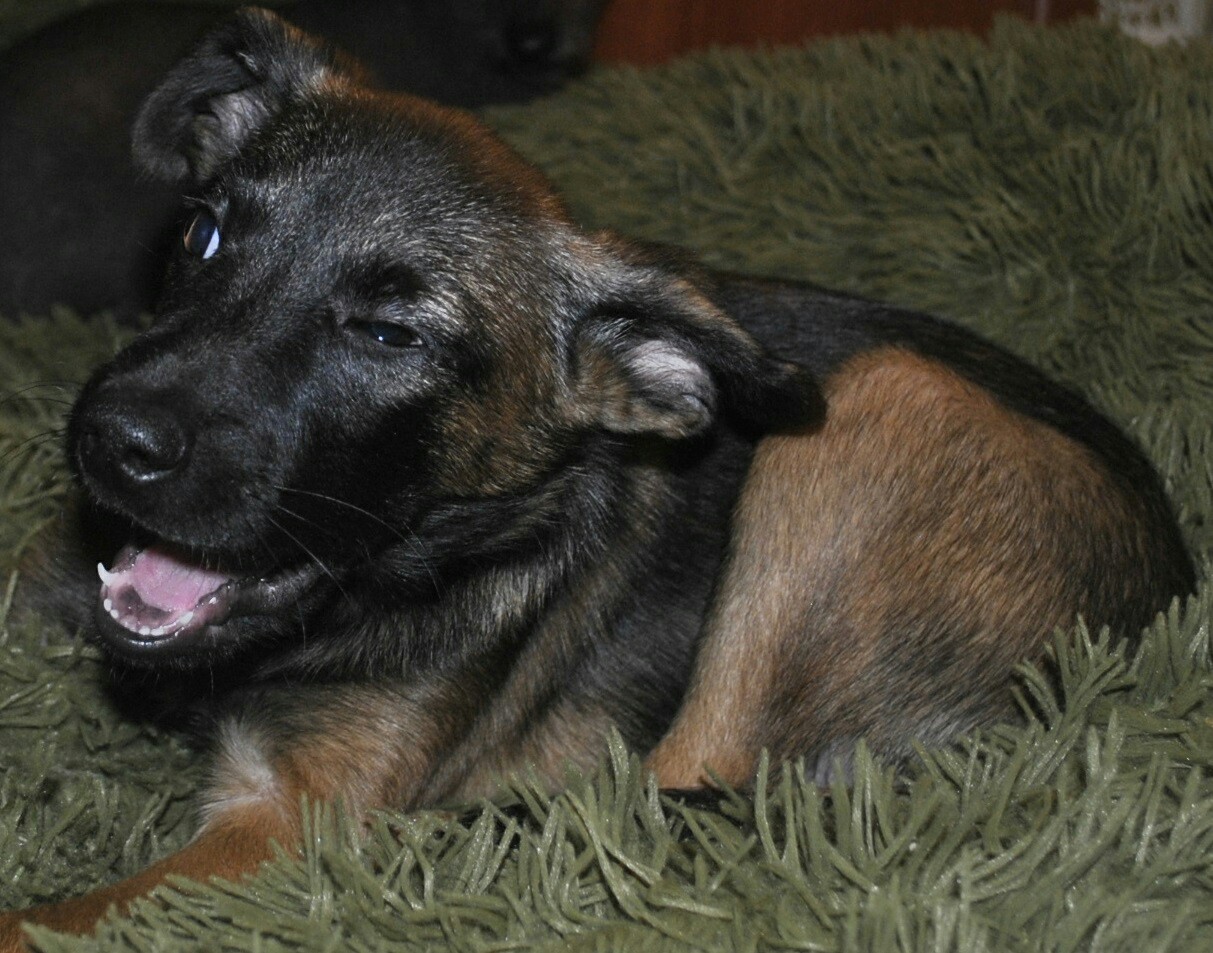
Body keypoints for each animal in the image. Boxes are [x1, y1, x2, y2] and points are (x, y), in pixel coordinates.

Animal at [0, 7, 1193, 940]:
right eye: (202, 237)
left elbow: (47, 921)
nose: (108, 437)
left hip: (873, 412)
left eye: (389, 335)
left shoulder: (291, 823)